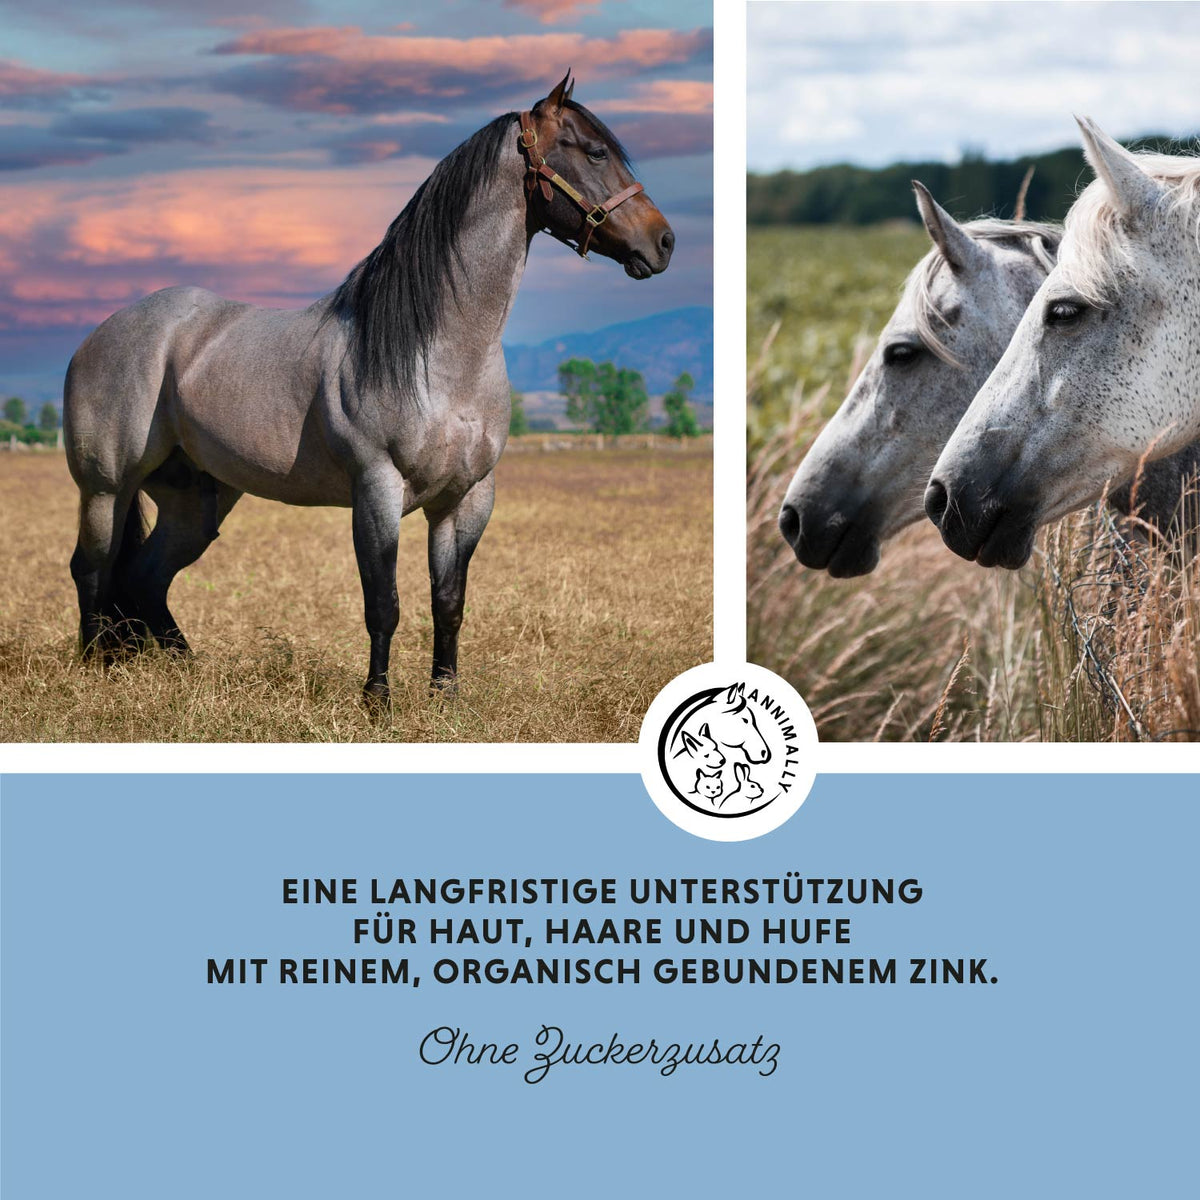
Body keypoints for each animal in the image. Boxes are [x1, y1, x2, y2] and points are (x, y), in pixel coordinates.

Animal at [63, 72, 674, 707]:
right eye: (596, 152)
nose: (663, 242)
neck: (442, 355)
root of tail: (101, 335)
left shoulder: (467, 498)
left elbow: (448, 603)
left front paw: (445, 697)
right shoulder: (376, 489)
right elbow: (384, 604)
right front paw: (377, 701)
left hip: (196, 500)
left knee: (145, 578)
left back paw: (187, 671)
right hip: (106, 488)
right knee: (93, 568)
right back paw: (94, 670)